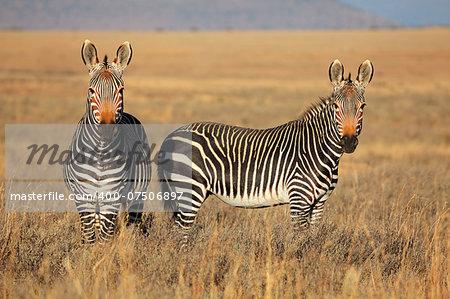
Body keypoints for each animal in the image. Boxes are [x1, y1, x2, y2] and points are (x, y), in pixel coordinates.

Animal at [64, 40, 151, 244]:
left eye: (121, 90)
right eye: (91, 90)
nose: (107, 129)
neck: (100, 153)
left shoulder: (112, 195)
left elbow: (105, 237)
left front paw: (105, 253)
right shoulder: (83, 195)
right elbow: (89, 236)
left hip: (137, 195)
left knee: (133, 222)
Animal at [158, 58, 372, 238]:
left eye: (363, 106)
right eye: (336, 106)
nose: (349, 142)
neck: (320, 152)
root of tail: (171, 135)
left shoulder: (319, 203)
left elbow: (313, 238)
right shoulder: (299, 199)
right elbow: (300, 239)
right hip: (190, 189)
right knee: (181, 232)